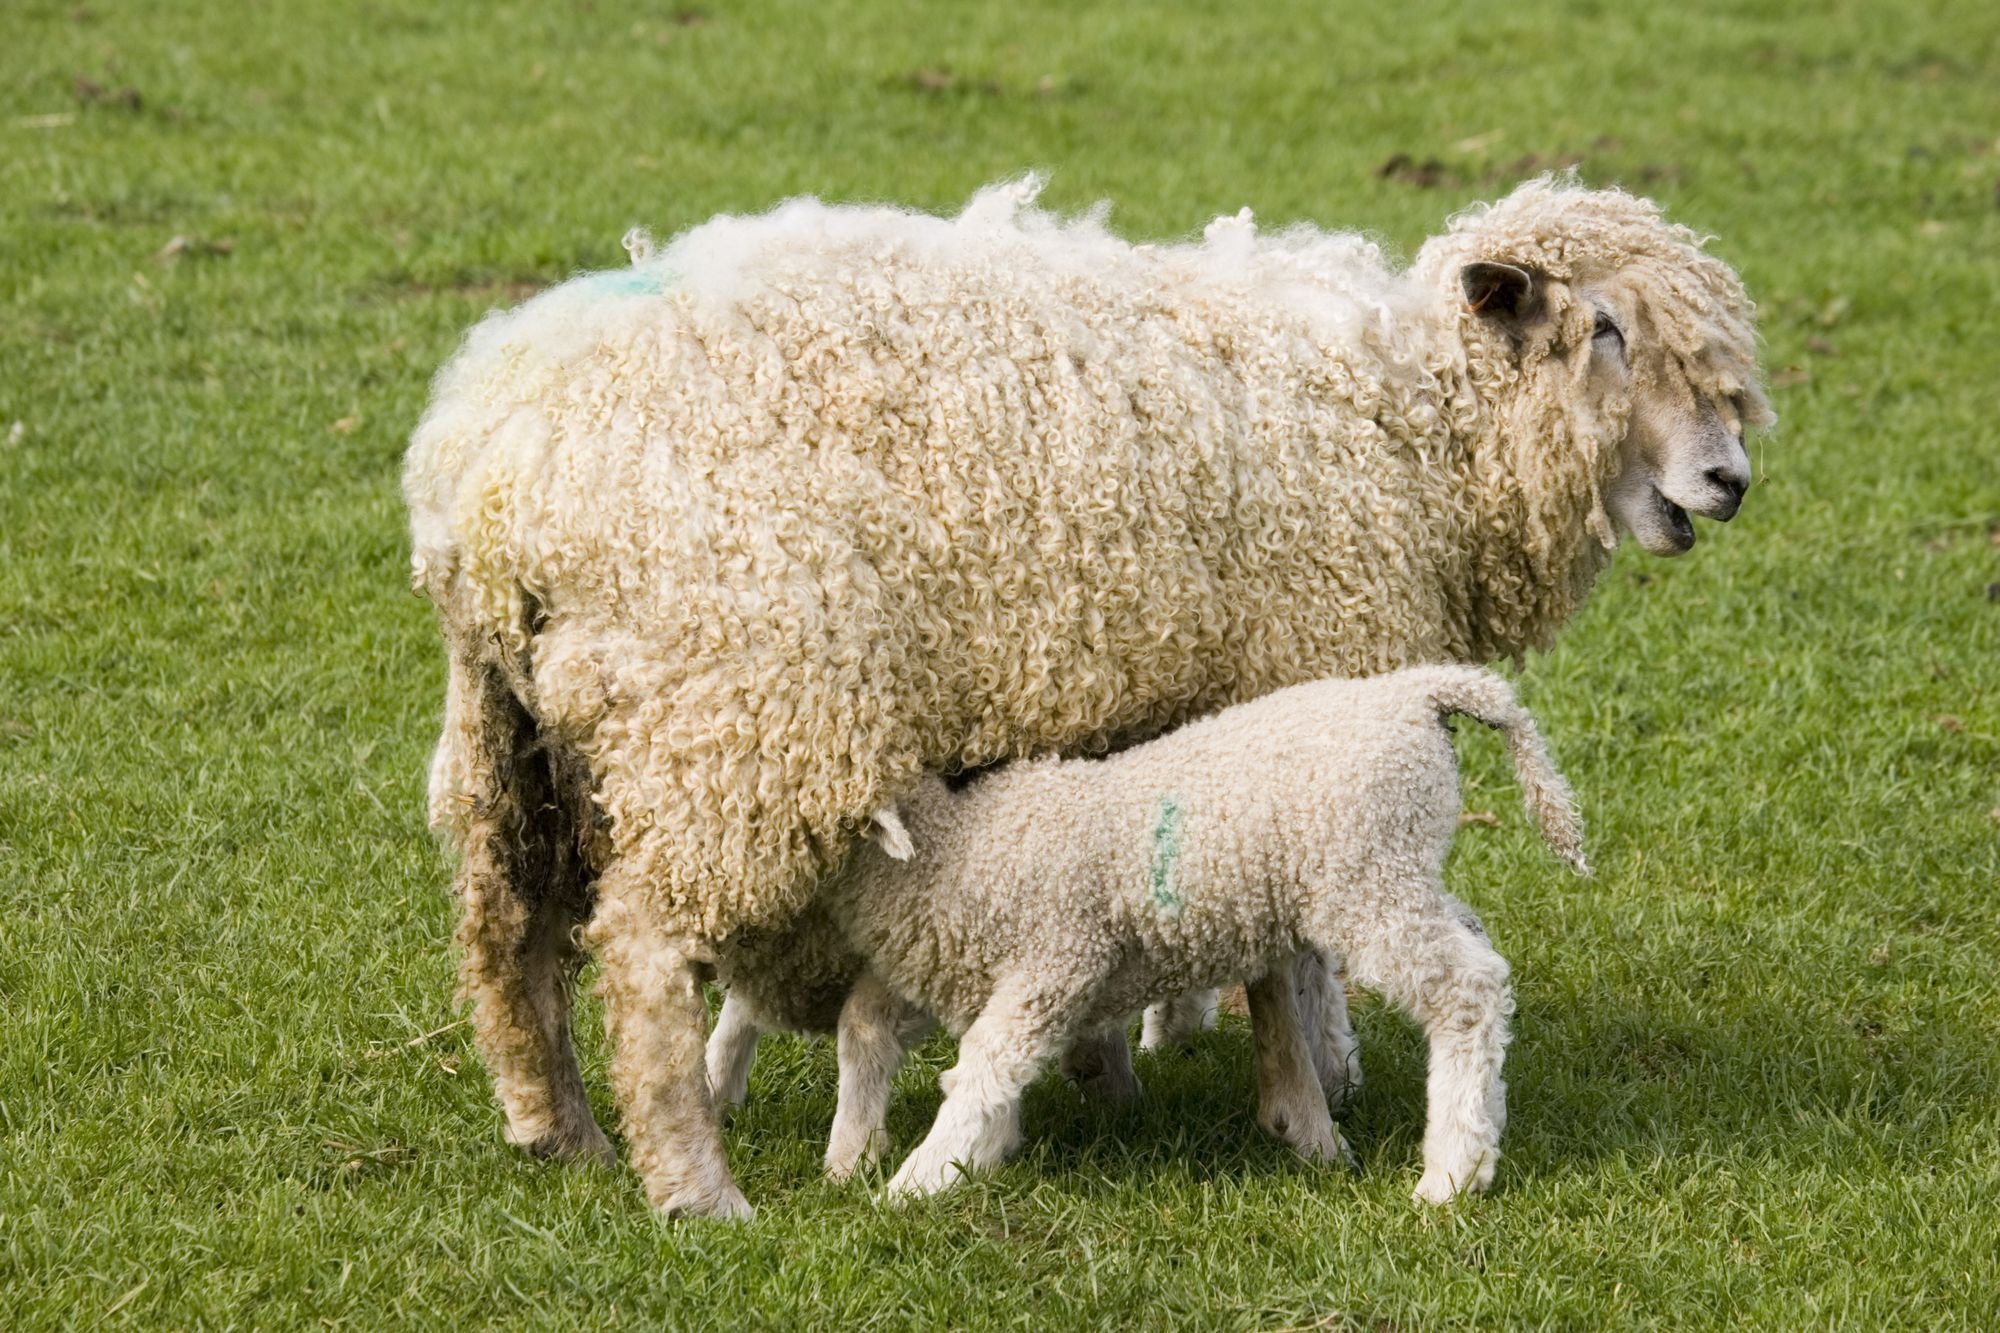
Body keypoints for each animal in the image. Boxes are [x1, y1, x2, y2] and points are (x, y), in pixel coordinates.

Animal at [798, 665, 1586, 1203]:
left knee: (1468, 990)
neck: (951, 847)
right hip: (1402, 872)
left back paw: (1453, 1171)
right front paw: (856, 1156)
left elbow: (984, 1067)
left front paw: (917, 1182)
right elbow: (869, 1026)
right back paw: (1484, 1122)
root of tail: (1417, 692)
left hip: (1368, 878)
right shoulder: (961, 969)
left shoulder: (1057, 960)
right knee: (1482, 952)